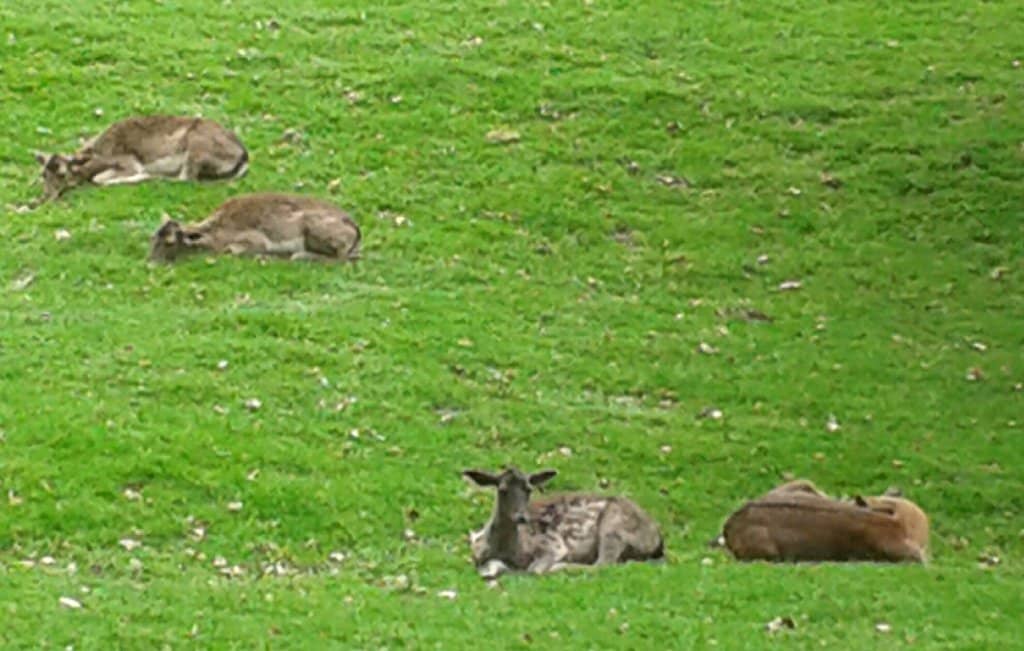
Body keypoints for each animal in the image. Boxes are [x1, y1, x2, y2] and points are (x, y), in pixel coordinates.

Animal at [33, 115, 248, 202]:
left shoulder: (129, 162)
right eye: (43, 175)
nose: (45, 197)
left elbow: (98, 179)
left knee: (185, 178)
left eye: (62, 173)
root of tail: (244, 156)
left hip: (196, 148)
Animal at [148, 193, 361, 263]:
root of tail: (357, 233)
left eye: (170, 242)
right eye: (153, 238)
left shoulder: (255, 240)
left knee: (341, 258)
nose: (150, 262)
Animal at [462, 466, 664, 580]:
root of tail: (658, 539)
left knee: (603, 563)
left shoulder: (553, 545)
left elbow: (532, 570)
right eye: (502, 489)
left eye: (529, 489)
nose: (522, 517)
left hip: (614, 527)